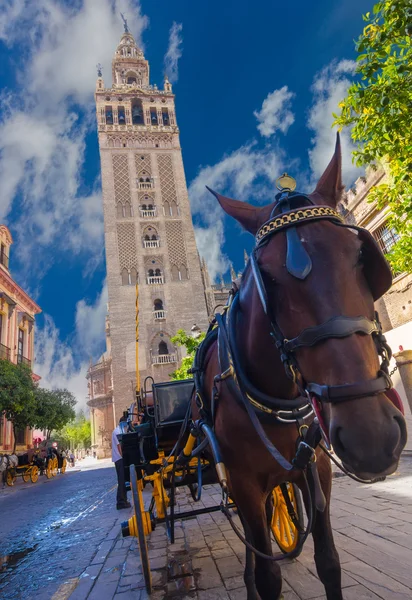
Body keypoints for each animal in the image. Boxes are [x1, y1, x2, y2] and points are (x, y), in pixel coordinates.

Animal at [195, 136, 408, 600]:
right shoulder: (244, 484)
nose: (372, 436)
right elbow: (268, 576)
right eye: (267, 279)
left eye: (361, 256)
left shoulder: (319, 468)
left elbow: (329, 562)